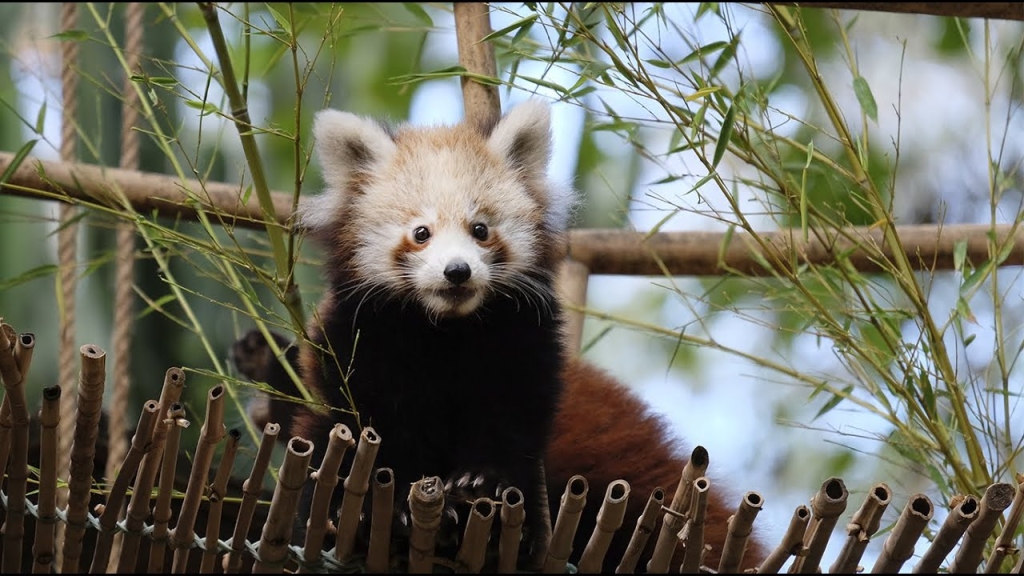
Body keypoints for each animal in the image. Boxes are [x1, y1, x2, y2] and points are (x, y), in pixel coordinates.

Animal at [235, 99, 765, 569]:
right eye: (421, 233)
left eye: (481, 229)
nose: (457, 271)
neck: (446, 331)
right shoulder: (362, 340)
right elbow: (369, 424)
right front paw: (390, 502)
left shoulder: (522, 344)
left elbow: (512, 421)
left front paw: (480, 484)